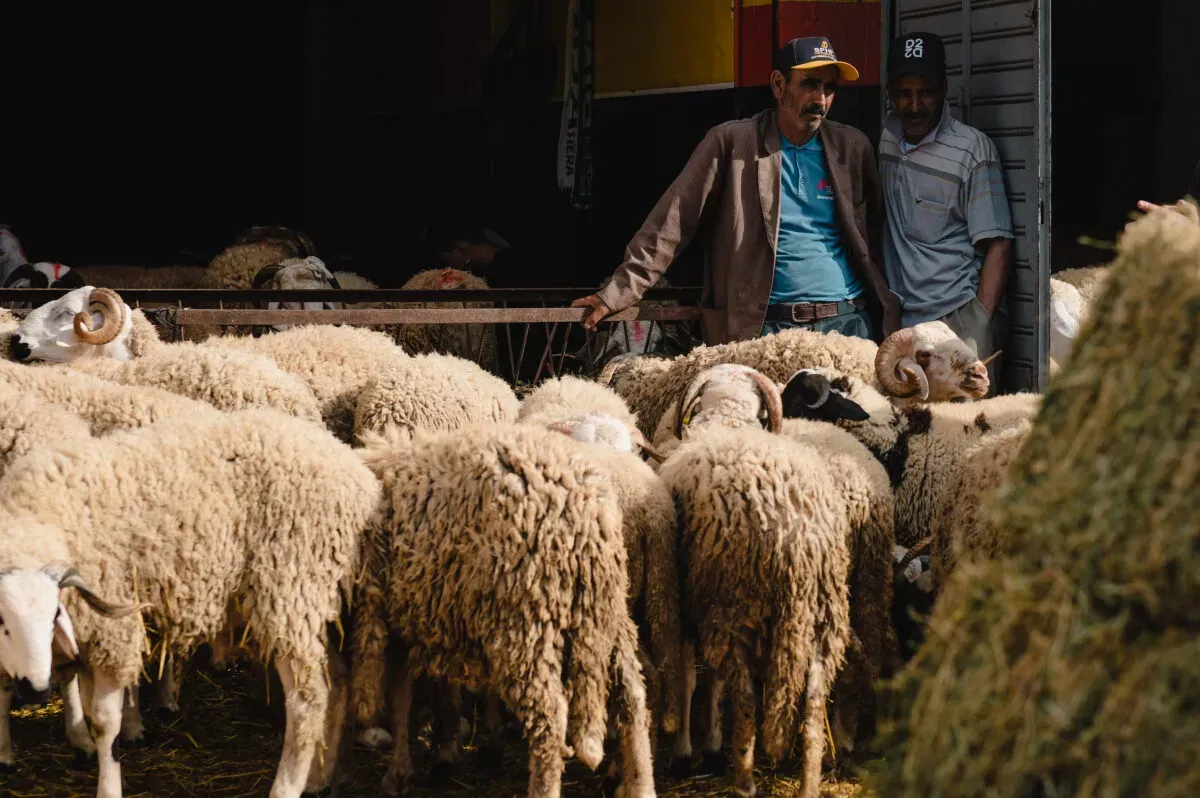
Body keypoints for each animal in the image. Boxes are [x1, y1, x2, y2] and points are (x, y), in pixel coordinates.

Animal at [0, 408, 382, 798]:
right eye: (3, 624)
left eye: (53, 616)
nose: (35, 689)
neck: (41, 518)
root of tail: (361, 481)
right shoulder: (87, 638)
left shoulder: (113, 633)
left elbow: (106, 724)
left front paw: (109, 785)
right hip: (312, 603)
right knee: (337, 681)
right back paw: (319, 779)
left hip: (290, 591)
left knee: (308, 701)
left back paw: (286, 786)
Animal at [353, 423, 656, 798]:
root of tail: (584, 509)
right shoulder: (427, 609)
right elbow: (422, 690)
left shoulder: (394, 614)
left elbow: (400, 697)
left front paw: (399, 771)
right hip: (607, 607)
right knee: (634, 694)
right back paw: (642, 784)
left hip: (526, 618)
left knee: (550, 718)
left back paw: (544, 788)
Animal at [657, 420, 850, 798]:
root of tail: (799, 542)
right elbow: (711, 681)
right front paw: (710, 746)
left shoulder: (689, 607)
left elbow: (688, 679)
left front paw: (685, 753)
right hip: (824, 617)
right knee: (814, 705)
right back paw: (808, 784)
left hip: (737, 607)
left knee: (745, 702)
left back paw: (745, 781)